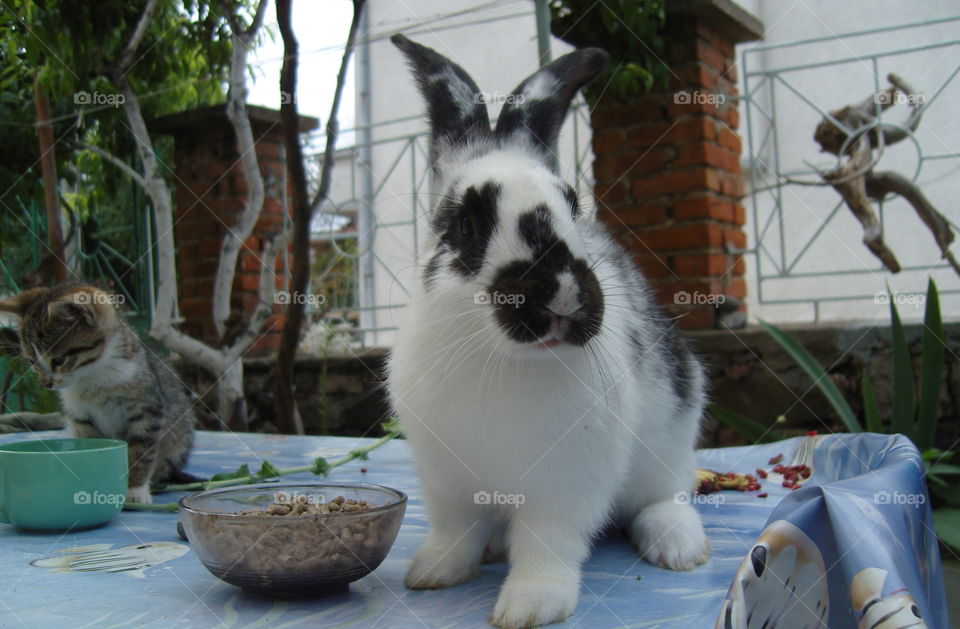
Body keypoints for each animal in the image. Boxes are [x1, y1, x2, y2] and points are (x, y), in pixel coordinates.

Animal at [0, 282, 197, 502]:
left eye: (58, 360)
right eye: (33, 362)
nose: (46, 384)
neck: (91, 376)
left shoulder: (148, 409)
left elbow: (141, 450)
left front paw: (135, 489)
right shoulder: (80, 416)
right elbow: (92, 444)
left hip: (179, 434)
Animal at [386, 35, 708, 628]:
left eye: (572, 205)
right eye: (465, 224)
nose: (562, 293)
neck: (501, 360)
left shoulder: (563, 489)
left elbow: (547, 546)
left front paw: (530, 606)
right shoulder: (446, 482)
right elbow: (454, 531)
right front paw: (433, 573)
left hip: (673, 432)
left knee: (664, 495)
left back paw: (678, 546)